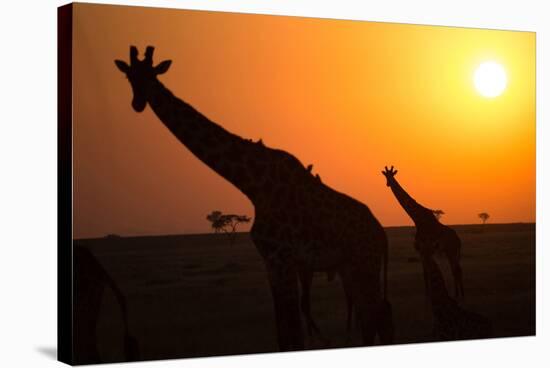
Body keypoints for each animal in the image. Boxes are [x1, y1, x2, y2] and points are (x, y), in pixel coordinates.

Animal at [116, 46, 392, 348]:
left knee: (378, 314)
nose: (137, 103)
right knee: (373, 316)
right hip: (352, 267)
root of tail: (381, 235)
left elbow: (293, 335)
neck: (252, 186)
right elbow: (283, 334)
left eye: (151, 75)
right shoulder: (271, 262)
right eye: (129, 76)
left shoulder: (283, 259)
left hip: (363, 264)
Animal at [384, 167, 466, 300]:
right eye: (385, 175)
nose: (388, 183)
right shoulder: (421, 251)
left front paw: (430, 297)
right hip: (452, 252)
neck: (417, 219)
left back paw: (457, 295)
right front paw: (428, 296)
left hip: (451, 251)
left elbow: (427, 272)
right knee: (458, 269)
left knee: (456, 270)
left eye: (392, 175)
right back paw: (460, 295)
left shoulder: (425, 249)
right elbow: (425, 273)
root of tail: (458, 240)